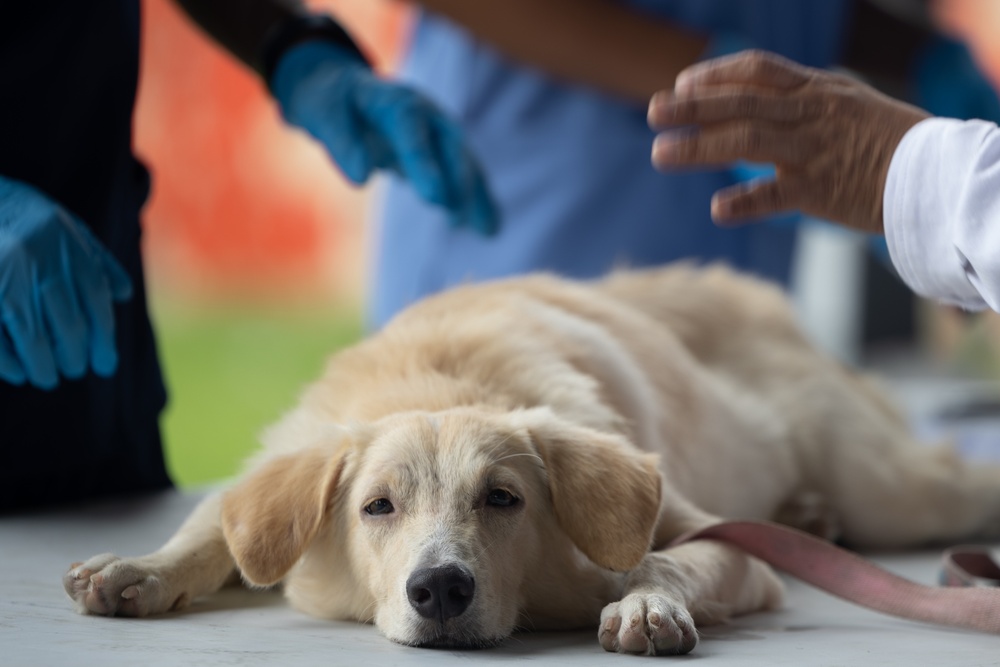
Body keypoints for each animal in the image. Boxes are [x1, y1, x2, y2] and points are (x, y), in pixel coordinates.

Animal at [60, 264, 1000, 656]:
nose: (440, 590)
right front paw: (140, 568)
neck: (437, 377)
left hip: (892, 489)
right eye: (377, 507)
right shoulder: (282, 460)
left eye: (503, 498)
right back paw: (807, 514)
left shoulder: (722, 542)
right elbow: (213, 525)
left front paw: (646, 601)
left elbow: (663, 556)